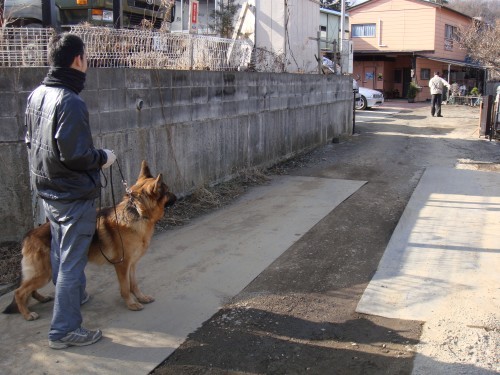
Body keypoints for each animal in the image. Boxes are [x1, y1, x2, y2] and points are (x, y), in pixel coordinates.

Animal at [1, 160, 177, 322]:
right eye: (168, 191)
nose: (175, 196)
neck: (137, 214)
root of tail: (29, 234)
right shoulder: (122, 265)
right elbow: (126, 287)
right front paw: (131, 304)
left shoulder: (132, 264)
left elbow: (134, 284)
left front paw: (141, 297)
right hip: (44, 273)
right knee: (19, 292)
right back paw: (27, 314)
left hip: (45, 273)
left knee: (28, 289)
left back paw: (41, 298)